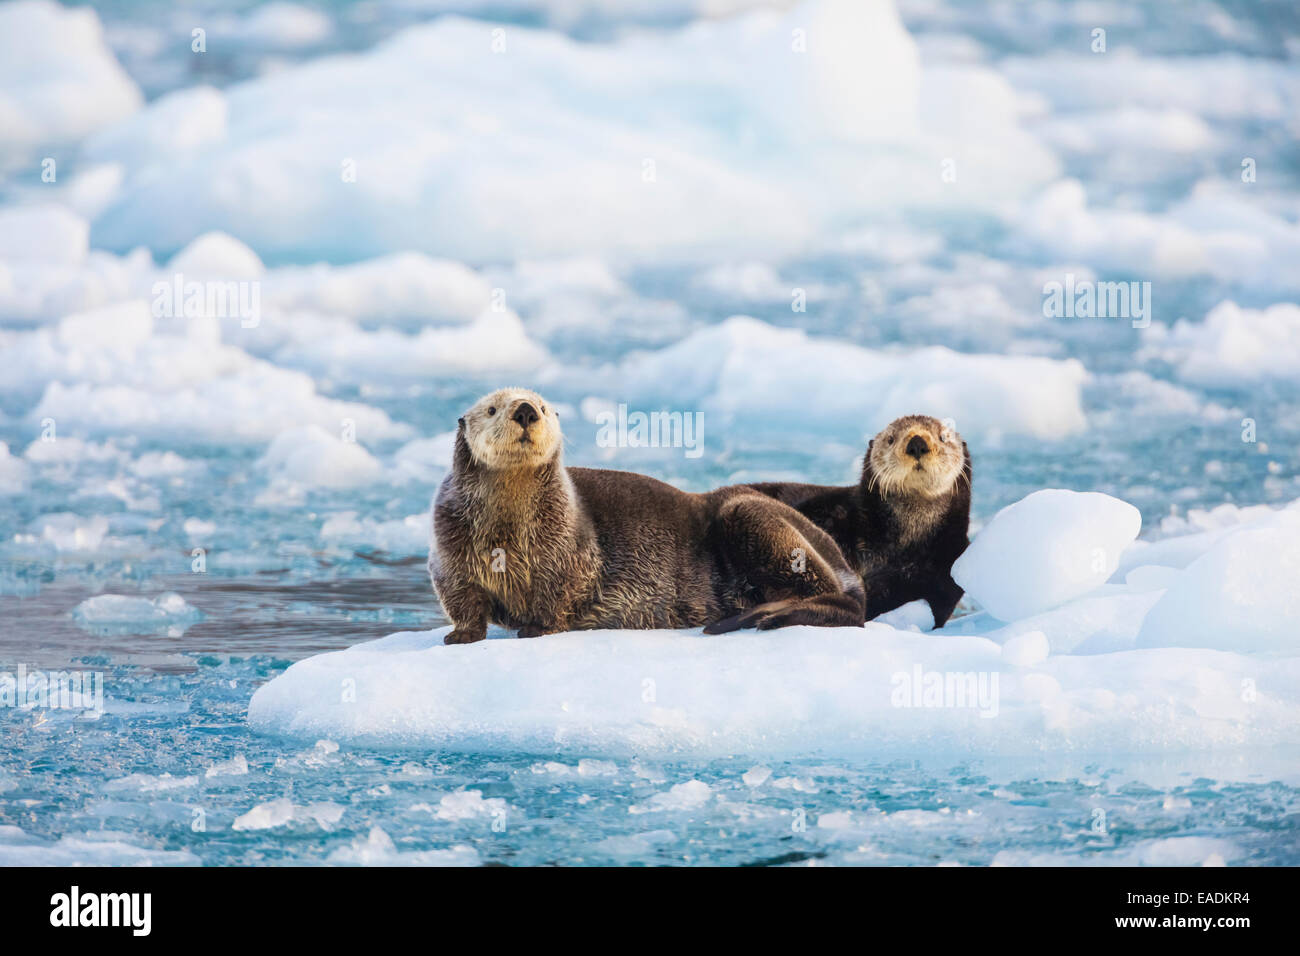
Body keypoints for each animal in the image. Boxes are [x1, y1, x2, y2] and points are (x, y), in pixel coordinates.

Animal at [429, 388, 866, 643]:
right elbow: (460, 594)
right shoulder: (449, 545)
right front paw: (461, 635)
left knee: (845, 606)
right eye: (491, 409)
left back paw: (756, 617)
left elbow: (562, 589)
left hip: (749, 513)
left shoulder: (570, 543)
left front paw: (537, 627)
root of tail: (846, 567)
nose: (524, 411)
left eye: (544, 407)